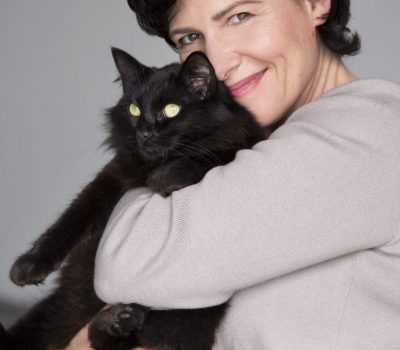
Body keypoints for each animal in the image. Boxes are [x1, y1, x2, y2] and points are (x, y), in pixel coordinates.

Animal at [1, 47, 268, 350]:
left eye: (171, 110)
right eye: (134, 109)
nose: (144, 132)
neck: (152, 165)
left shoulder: (241, 141)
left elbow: (213, 155)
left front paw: (166, 177)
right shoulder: (112, 179)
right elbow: (70, 219)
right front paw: (29, 265)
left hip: (196, 311)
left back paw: (117, 321)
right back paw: (116, 321)